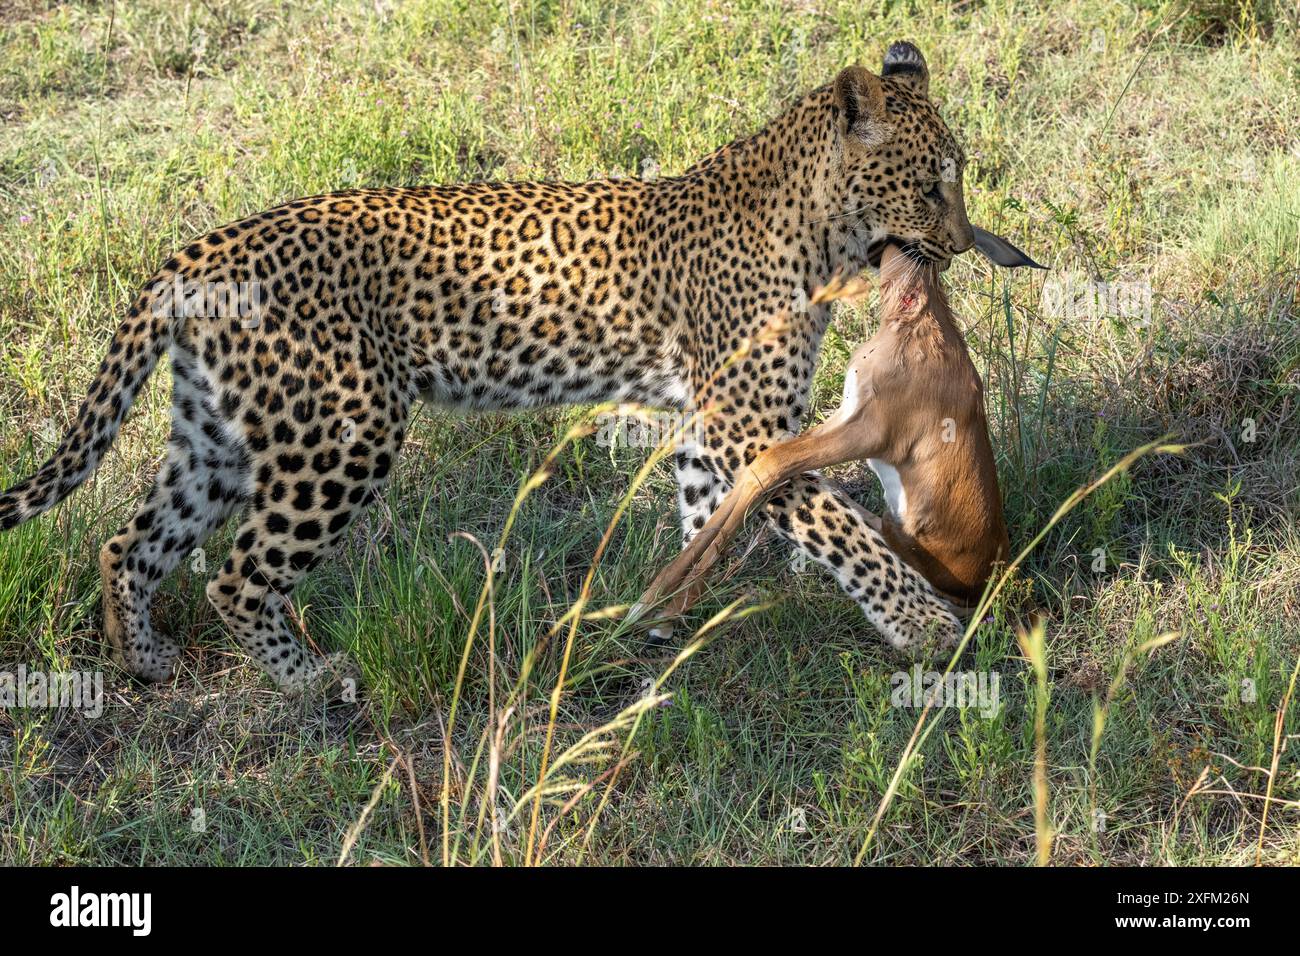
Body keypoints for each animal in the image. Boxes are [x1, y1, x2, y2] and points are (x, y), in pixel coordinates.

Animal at [638, 243, 1013, 641]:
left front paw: (665, 606)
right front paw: (658, 601)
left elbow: (768, 463)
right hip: (887, 517)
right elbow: (764, 463)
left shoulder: (871, 432)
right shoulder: (846, 413)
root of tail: (993, 575)